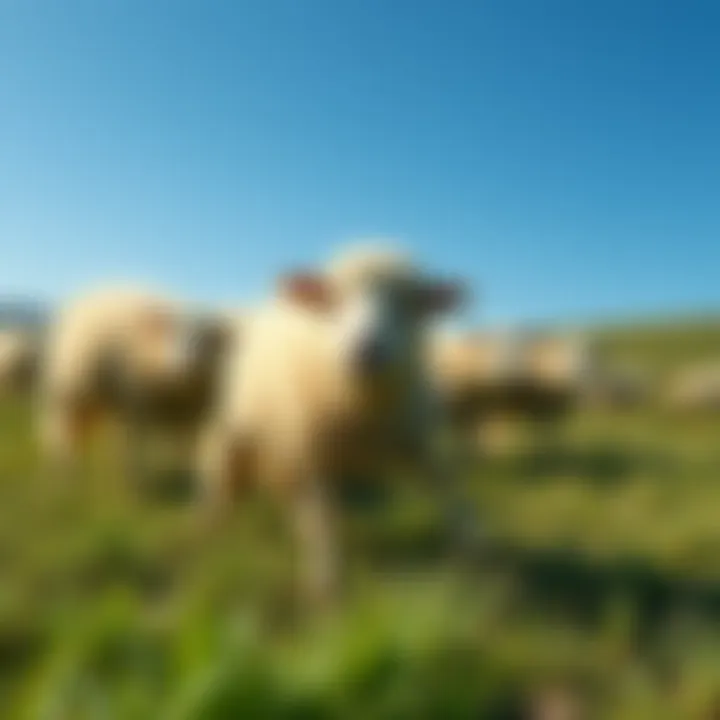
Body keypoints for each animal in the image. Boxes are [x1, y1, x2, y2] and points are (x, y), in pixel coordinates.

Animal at [38, 285, 234, 486]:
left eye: (206, 339)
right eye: (174, 335)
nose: (182, 363)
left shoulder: (191, 416)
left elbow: (187, 447)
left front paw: (187, 476)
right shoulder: (138, 407)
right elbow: (137, 445)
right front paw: (137, 480)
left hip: (94, 398)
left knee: (80, 430)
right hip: (70, 389)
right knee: (62, 430)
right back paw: (66, 470)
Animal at [197, 243, 471, 608]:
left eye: (410, 303)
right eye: (334, 299)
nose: (366, 351)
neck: (363, 409)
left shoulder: (420, 439)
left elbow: (449, 490)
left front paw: (474, 553)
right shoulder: (308, 455)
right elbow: (322, 524)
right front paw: (326, 588)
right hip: (242, 435)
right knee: (226, 485)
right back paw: (213, 530)